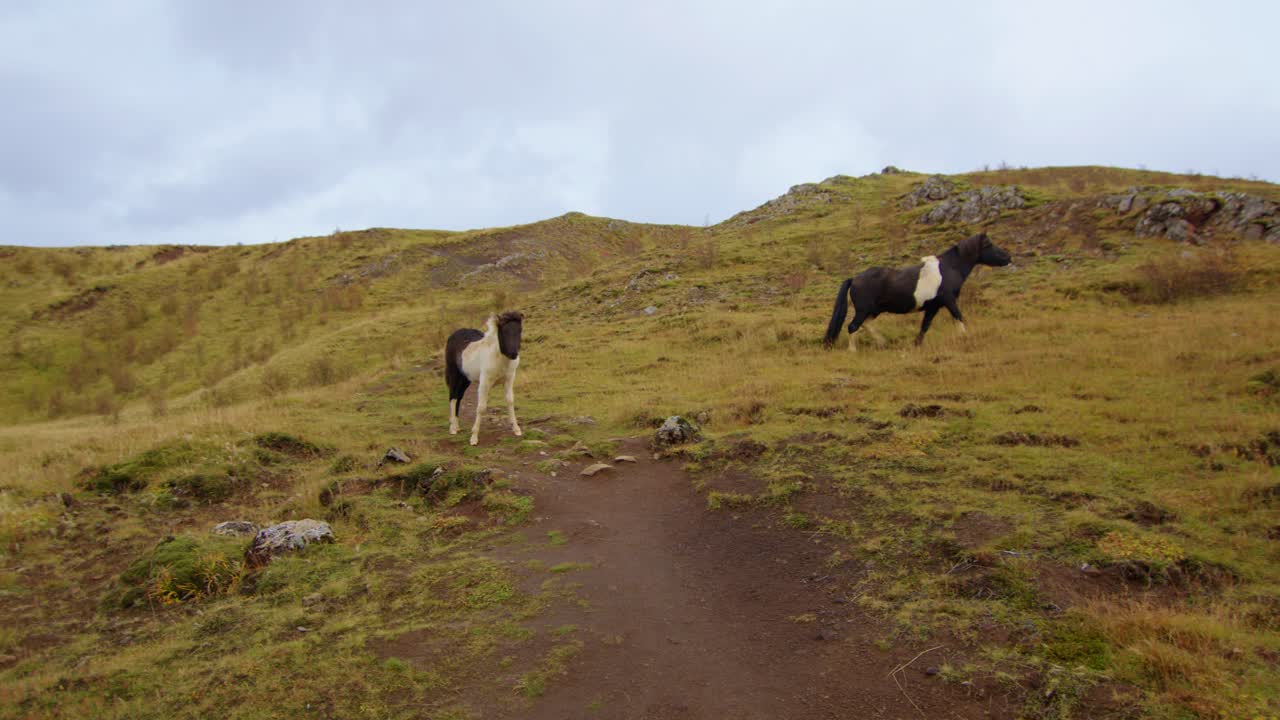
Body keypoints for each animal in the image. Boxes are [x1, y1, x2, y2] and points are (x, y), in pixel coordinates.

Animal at [444, 311, 523, 445]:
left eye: (520, 330)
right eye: (505, 331)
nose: (513, 354)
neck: (498, 357)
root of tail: (453, 335)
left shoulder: (509, 380)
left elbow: (510, 401)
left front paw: (516, 429)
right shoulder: (484, 383)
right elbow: (481, 407)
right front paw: (474, 438)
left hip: (465, 378)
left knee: (459, 397)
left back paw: (457, 426)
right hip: (454, 373)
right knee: (453, 397)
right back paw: (453, 428)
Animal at [822, 232, 1011, 350]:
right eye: (989, 245)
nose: (1008, 258)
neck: (948, 268)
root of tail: (854, 278)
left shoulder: (933, 306)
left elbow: (925, 326)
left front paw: (916, 344)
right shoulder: (949, 300)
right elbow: (959, 317)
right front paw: (965, 338)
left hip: (874, 310)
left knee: (865, 324)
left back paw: (883, 342)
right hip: (864, 310)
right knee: (853, 326)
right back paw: (853, 350)